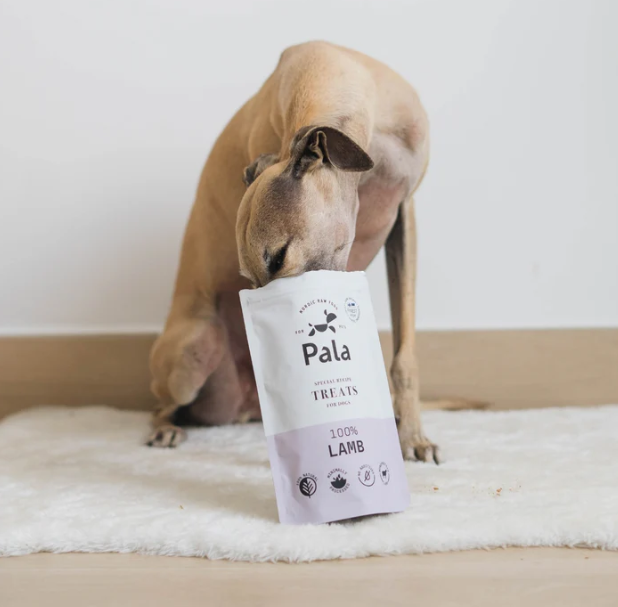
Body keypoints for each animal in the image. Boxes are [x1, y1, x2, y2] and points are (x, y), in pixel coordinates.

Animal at [148, 41, 439, 463]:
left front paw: (413, 437)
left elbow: (404, 353)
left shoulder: (404, 212)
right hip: (193, 348)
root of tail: (243, 408)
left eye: (279, 257)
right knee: (162, 405)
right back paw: (165, 428)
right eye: (248, 281)